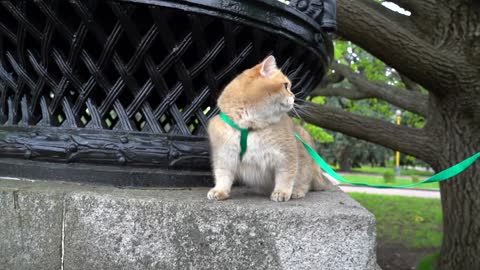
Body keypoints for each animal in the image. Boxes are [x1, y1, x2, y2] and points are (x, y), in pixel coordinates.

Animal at [208, 56, 332, 201]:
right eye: (286, 86)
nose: (294, 96)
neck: (248, 127)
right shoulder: (224, 157)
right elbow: (223, 176)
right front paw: (219, 190)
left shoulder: (286, 156)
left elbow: (286, 176)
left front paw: (281, 192)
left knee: (305, 182)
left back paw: (297, 191)